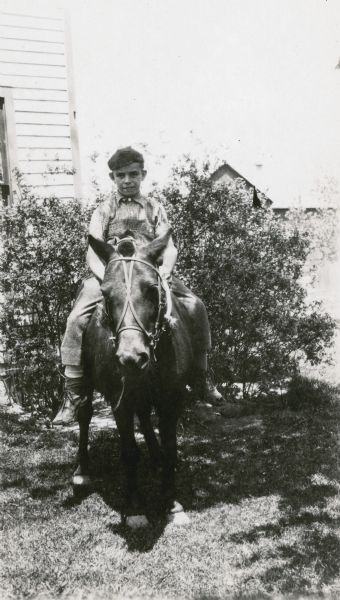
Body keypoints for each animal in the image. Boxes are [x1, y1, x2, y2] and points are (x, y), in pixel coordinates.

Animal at [73, 227, 190, 528]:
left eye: (152, 289)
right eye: (105, 292)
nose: (131, 357)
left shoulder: (171, 399)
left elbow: (171, 448)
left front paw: (172, 504)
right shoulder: (120, 402)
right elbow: (129, 452)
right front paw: (136, 509)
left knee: (146, 418)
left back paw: (156, 457)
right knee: (84, 414)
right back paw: (82, 472)